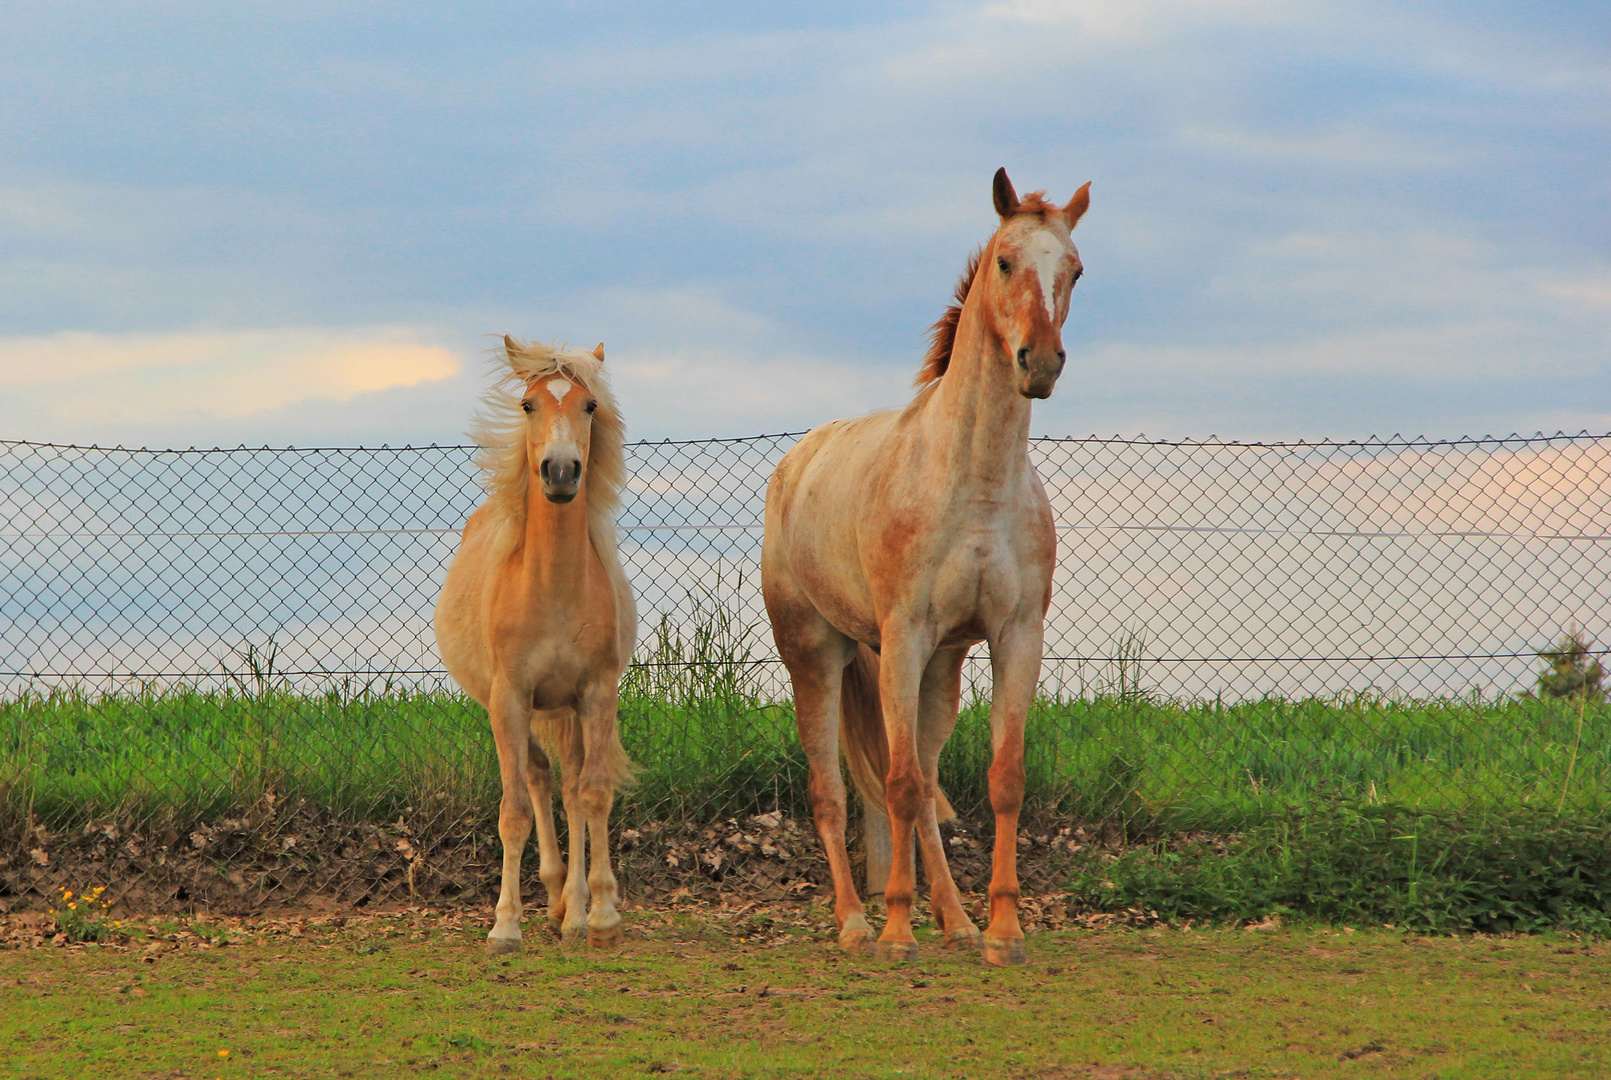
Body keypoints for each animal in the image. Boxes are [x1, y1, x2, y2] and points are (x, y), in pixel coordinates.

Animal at [441, 338, 641, 954]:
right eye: (528, 404)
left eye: (590, 405)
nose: (560, 470)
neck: (551, 588)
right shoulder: (510, 699)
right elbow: (513, 811)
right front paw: (505, 926)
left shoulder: (597, 694)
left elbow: (593, 794)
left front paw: (601, 915)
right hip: (515, 708)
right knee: (536, 778)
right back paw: (553, 897)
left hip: (568, 709)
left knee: (571, 787)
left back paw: (572, 909)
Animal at [760, 171, 1089, 973]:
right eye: (1005, 260)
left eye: (1073, 269)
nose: (1040, 362)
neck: (973, 483)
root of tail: (795, 463)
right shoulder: (904, 636)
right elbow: (900, 785)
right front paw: (897, 932)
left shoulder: (1011, 638)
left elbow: (1001, 780)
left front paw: (1002, 931)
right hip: (817, 655)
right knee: (832, 787)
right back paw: (856, 921)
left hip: (937, 666)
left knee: (924, 772)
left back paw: (956, 920)